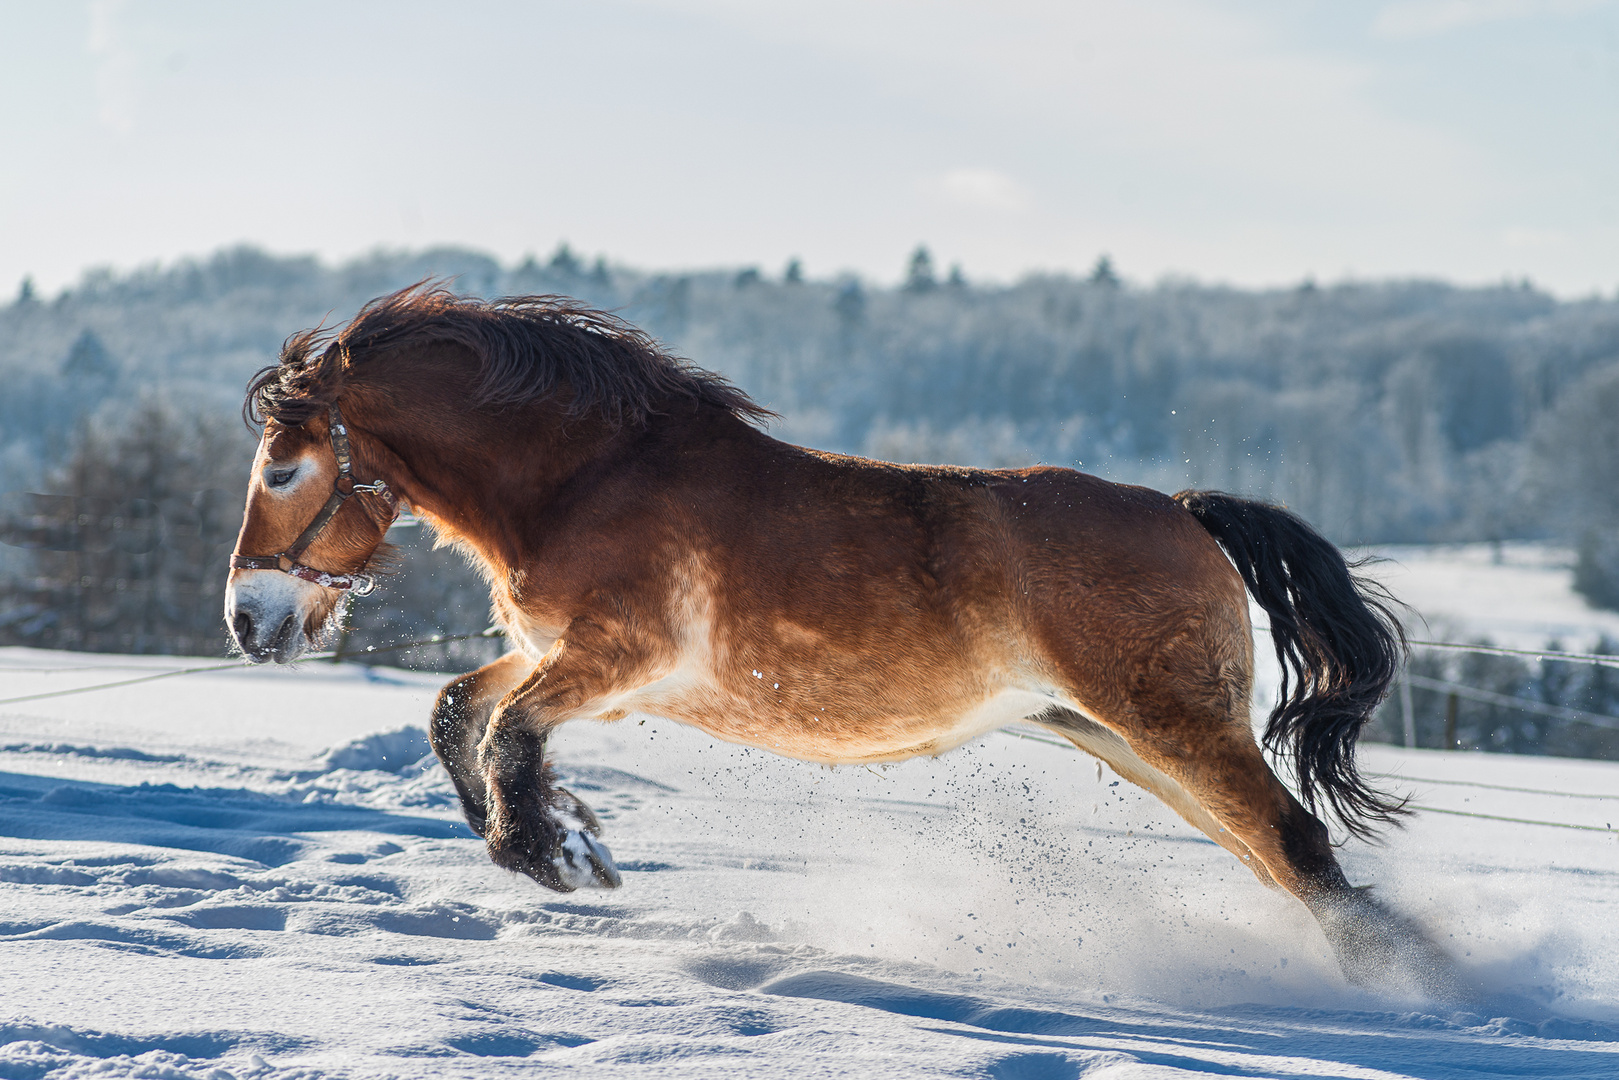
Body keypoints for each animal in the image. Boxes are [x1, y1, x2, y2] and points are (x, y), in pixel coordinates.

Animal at [225, 284, 1457, 997]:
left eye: (283, 469)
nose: (247, 621)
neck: (589, 478)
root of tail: (1184, 510)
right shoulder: (561, 657)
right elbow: (458, 716)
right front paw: (564, 836)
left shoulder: (618, 660)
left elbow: (504, 736)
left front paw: (562, 855)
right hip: (1123, 739)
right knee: (1281, 862)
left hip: (1174, 727)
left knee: (1296, 845)